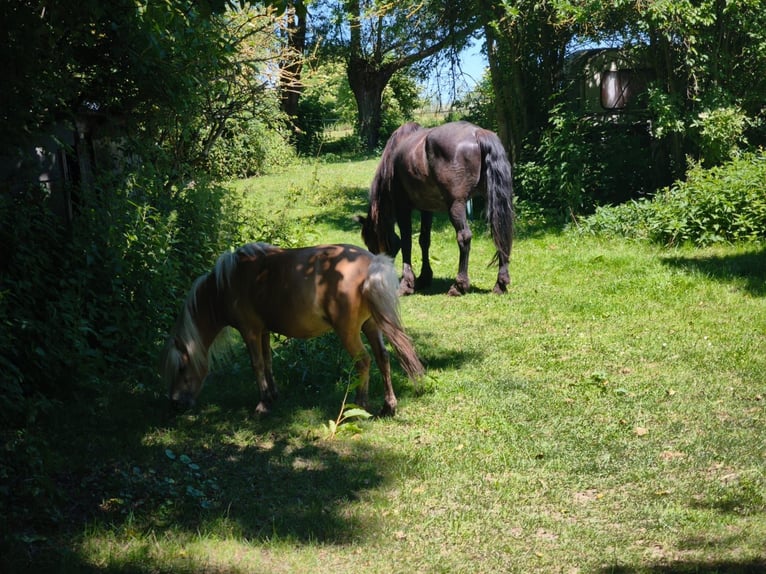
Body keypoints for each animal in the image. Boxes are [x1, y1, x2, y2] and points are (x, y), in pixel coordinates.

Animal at [161, 243, 425, 417]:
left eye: (182, 367)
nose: (175, 403)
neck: (226, 283)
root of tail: (371, 263)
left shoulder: (250, 331)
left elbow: (257, 364)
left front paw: (262, 404)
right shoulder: (264, 331)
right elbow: (268, 361)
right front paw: (273, 395)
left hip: (349, 332)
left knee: (364, 361)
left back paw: (360, 403)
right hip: (371, 325)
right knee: (382, 357)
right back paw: (388, 406)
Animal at [356, 121, 514, 296]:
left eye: (370, 242)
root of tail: (478, 134)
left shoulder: (402, 207)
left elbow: (406, 242)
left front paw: (407, 283)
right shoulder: (427, 209)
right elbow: (424, 240)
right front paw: (424, 277)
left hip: (456, 205)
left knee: (464, 237)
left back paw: (459, 285)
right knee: (500, 232)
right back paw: (500, 284)